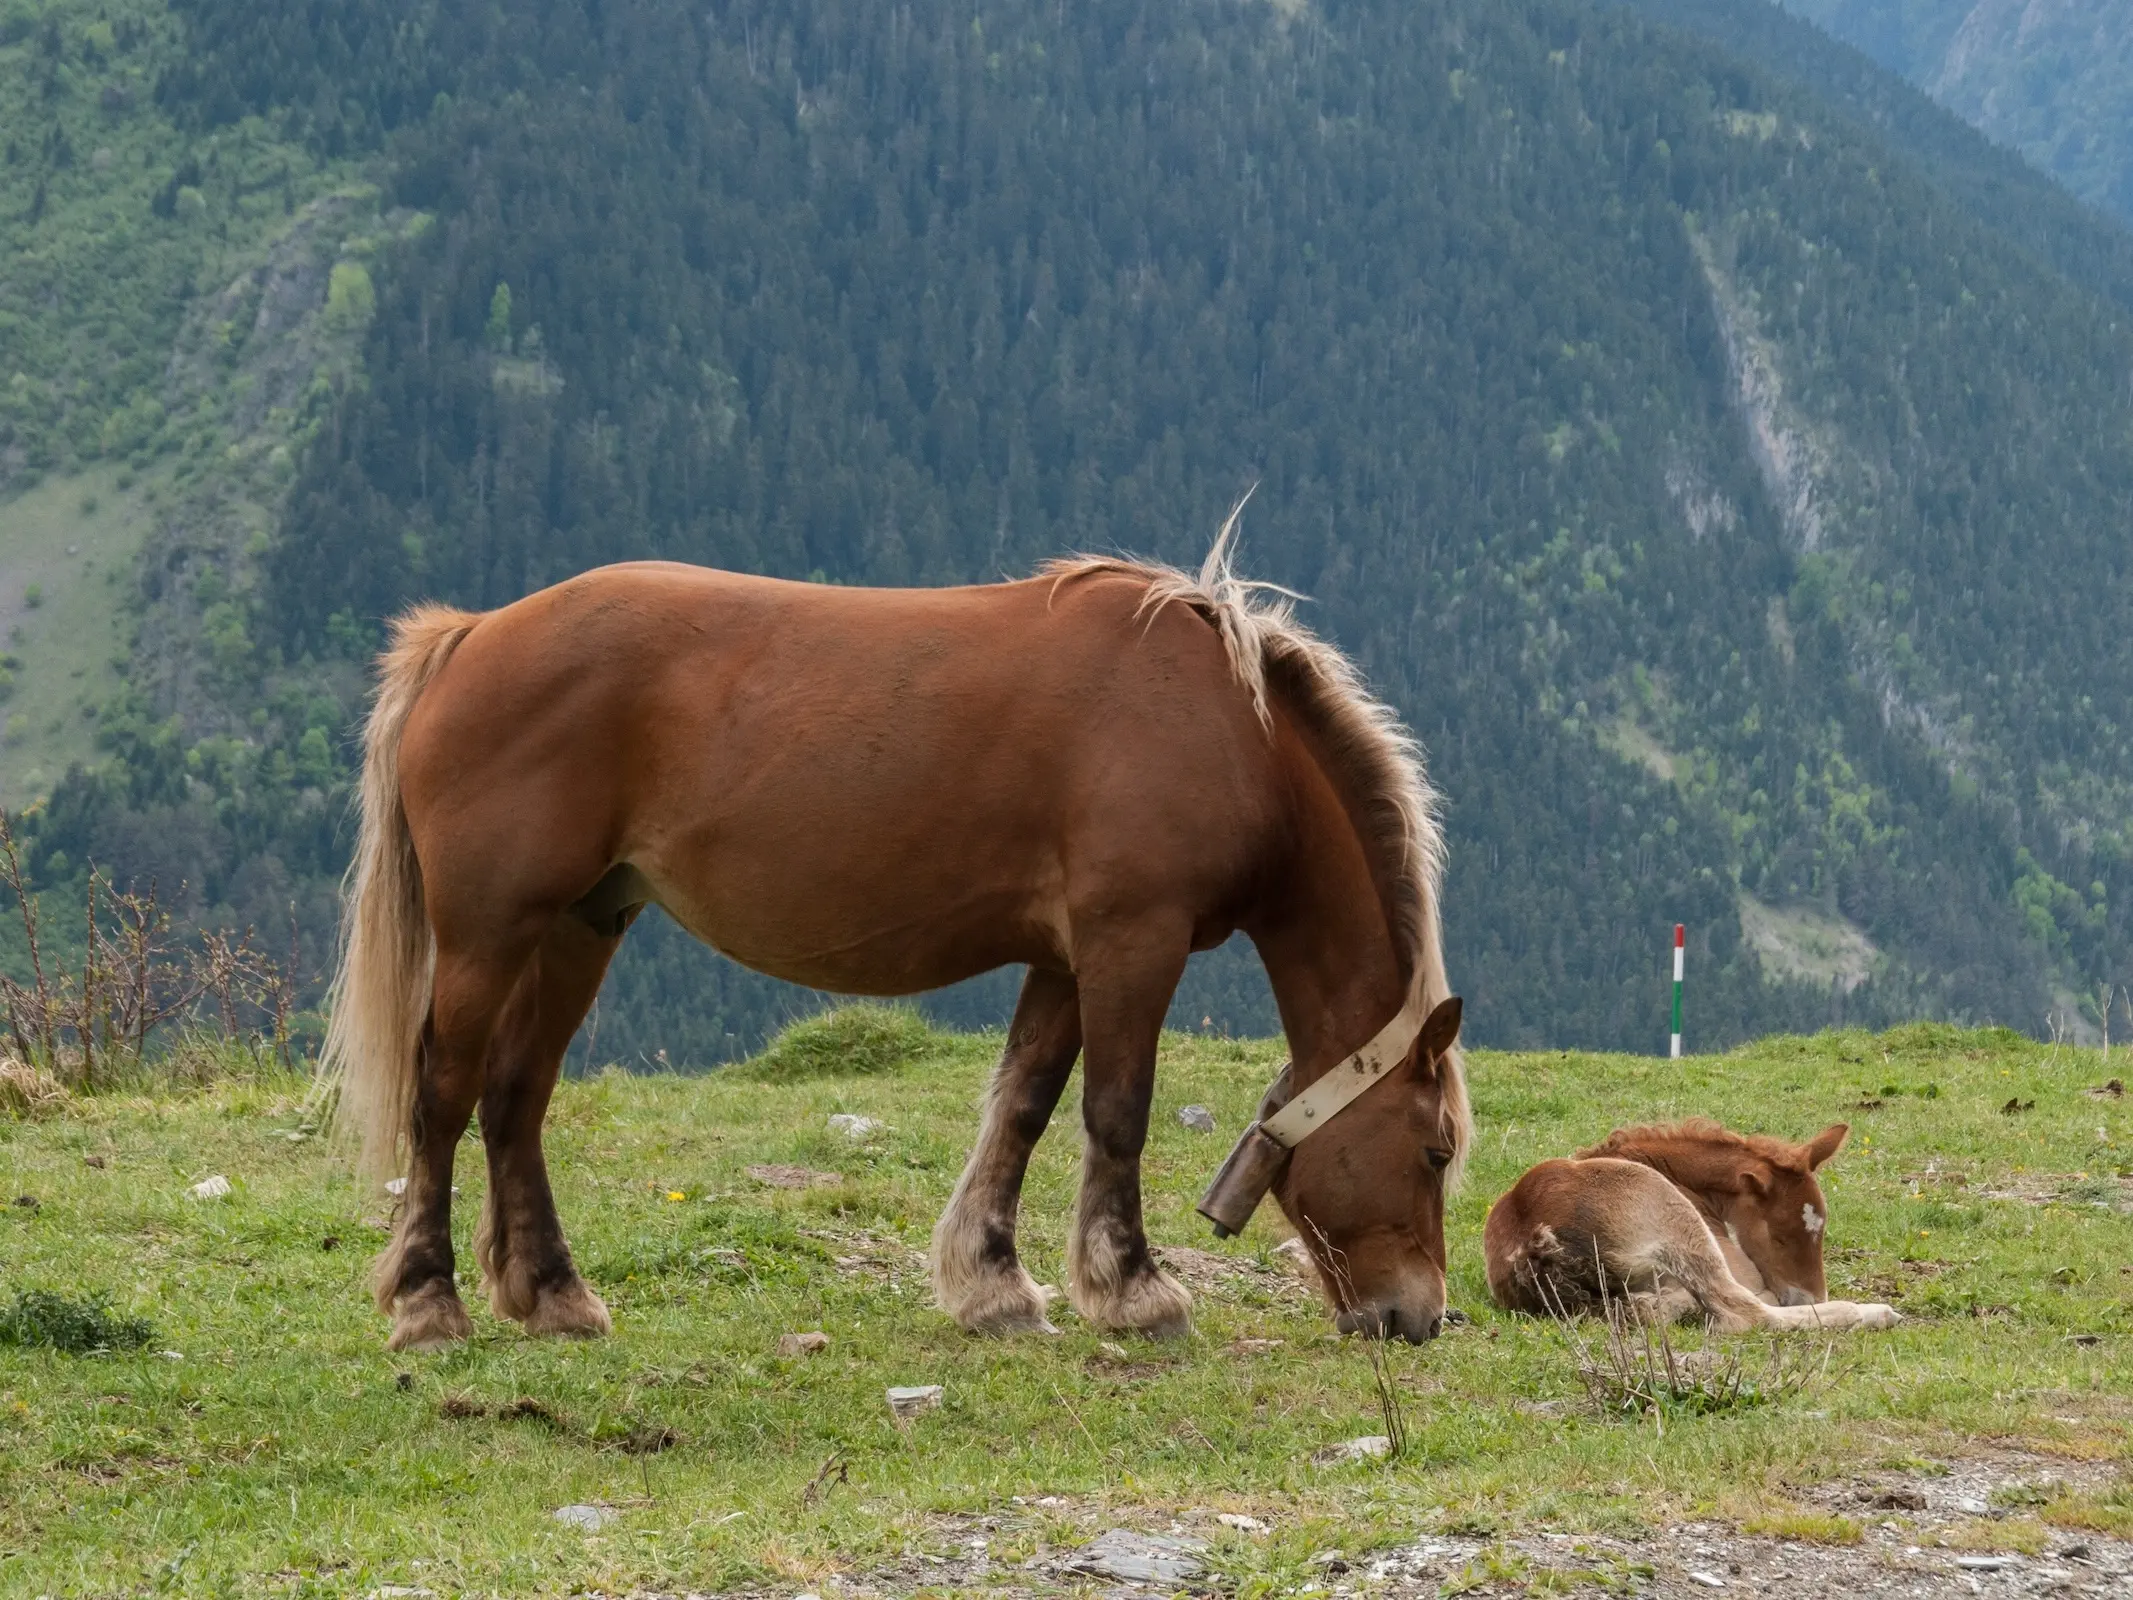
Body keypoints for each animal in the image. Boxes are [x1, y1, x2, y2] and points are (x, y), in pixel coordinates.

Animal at [324, 526, 1476, 1356]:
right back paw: (428, 1304)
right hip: (487, 936)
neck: (1230, 731)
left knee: (515, 1098)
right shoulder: (1130, 941)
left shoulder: (1062, 957)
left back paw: (554, 1295)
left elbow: (1023, 1105)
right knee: (443, 1098)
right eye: (1433, 1149)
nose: (1416, 1317)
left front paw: (993, 1283)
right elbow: (1116, 1113)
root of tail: (473, 634)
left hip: (579, 926)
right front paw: (1134, 1290)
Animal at [1484, 1117, 1902, 1331]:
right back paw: (1875, 1313)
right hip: (1680, 1225)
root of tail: (1534, 1245)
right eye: (1780, 1237)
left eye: (1822, 1231)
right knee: (1743, 1313)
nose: (1811, 1298)